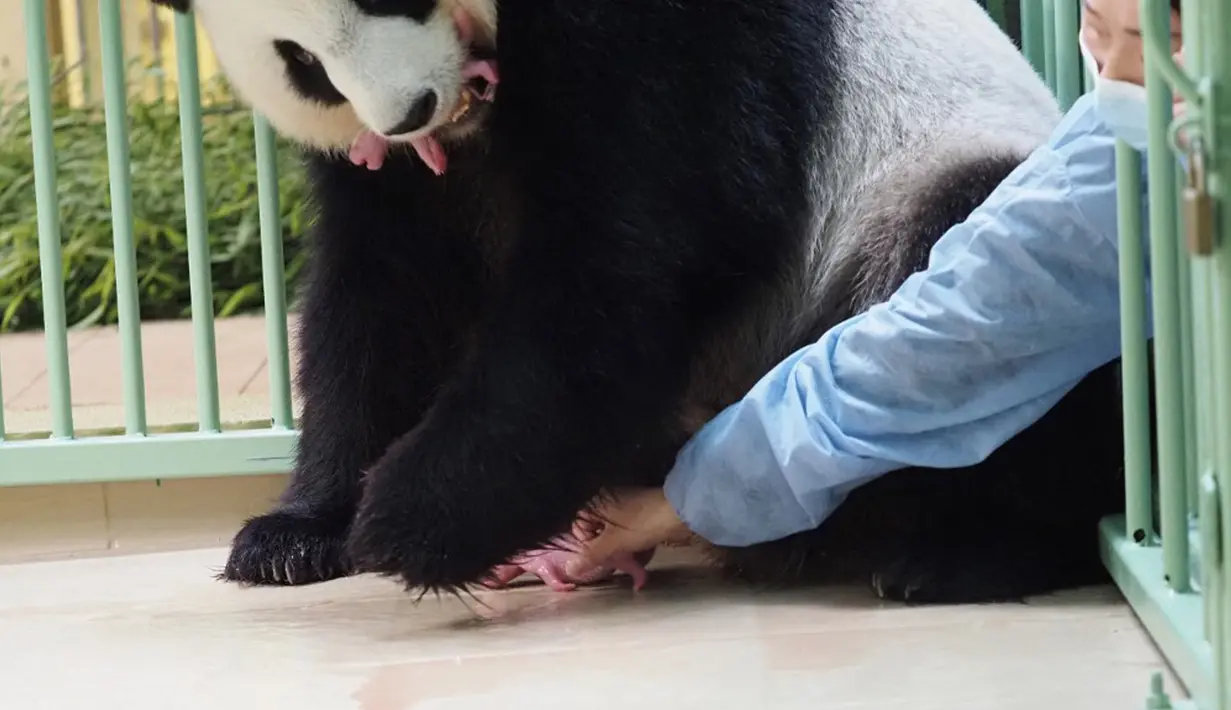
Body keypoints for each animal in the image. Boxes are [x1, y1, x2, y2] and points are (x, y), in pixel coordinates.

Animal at [151, 0, 1127, 604]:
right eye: (301, 63)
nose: (410, 109)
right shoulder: (395, 175)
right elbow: (385, 292)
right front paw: (300, 532)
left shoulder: (676, 39)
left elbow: (639, 242)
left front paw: (413, 517)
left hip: (920, 200)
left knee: (981, 288)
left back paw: (963, 552)